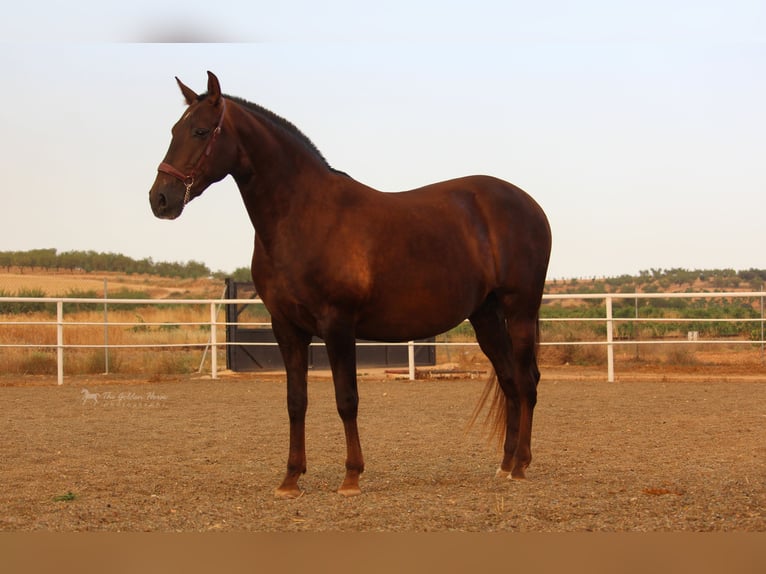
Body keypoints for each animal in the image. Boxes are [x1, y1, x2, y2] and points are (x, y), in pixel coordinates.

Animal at [148, 71, 552, 500]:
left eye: (200, 131)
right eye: (174, 130)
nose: (160, 199)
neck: (304, 214)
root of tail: (529, 205)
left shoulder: (338, 324)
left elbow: (346, 399)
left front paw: (351, 476)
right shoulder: (286, 327)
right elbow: (296, 401)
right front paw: (290, 478)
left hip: (520, 310)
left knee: (526, 381)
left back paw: (521, 465)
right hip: (486, 315)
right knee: (509, 381)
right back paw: (506, 464)